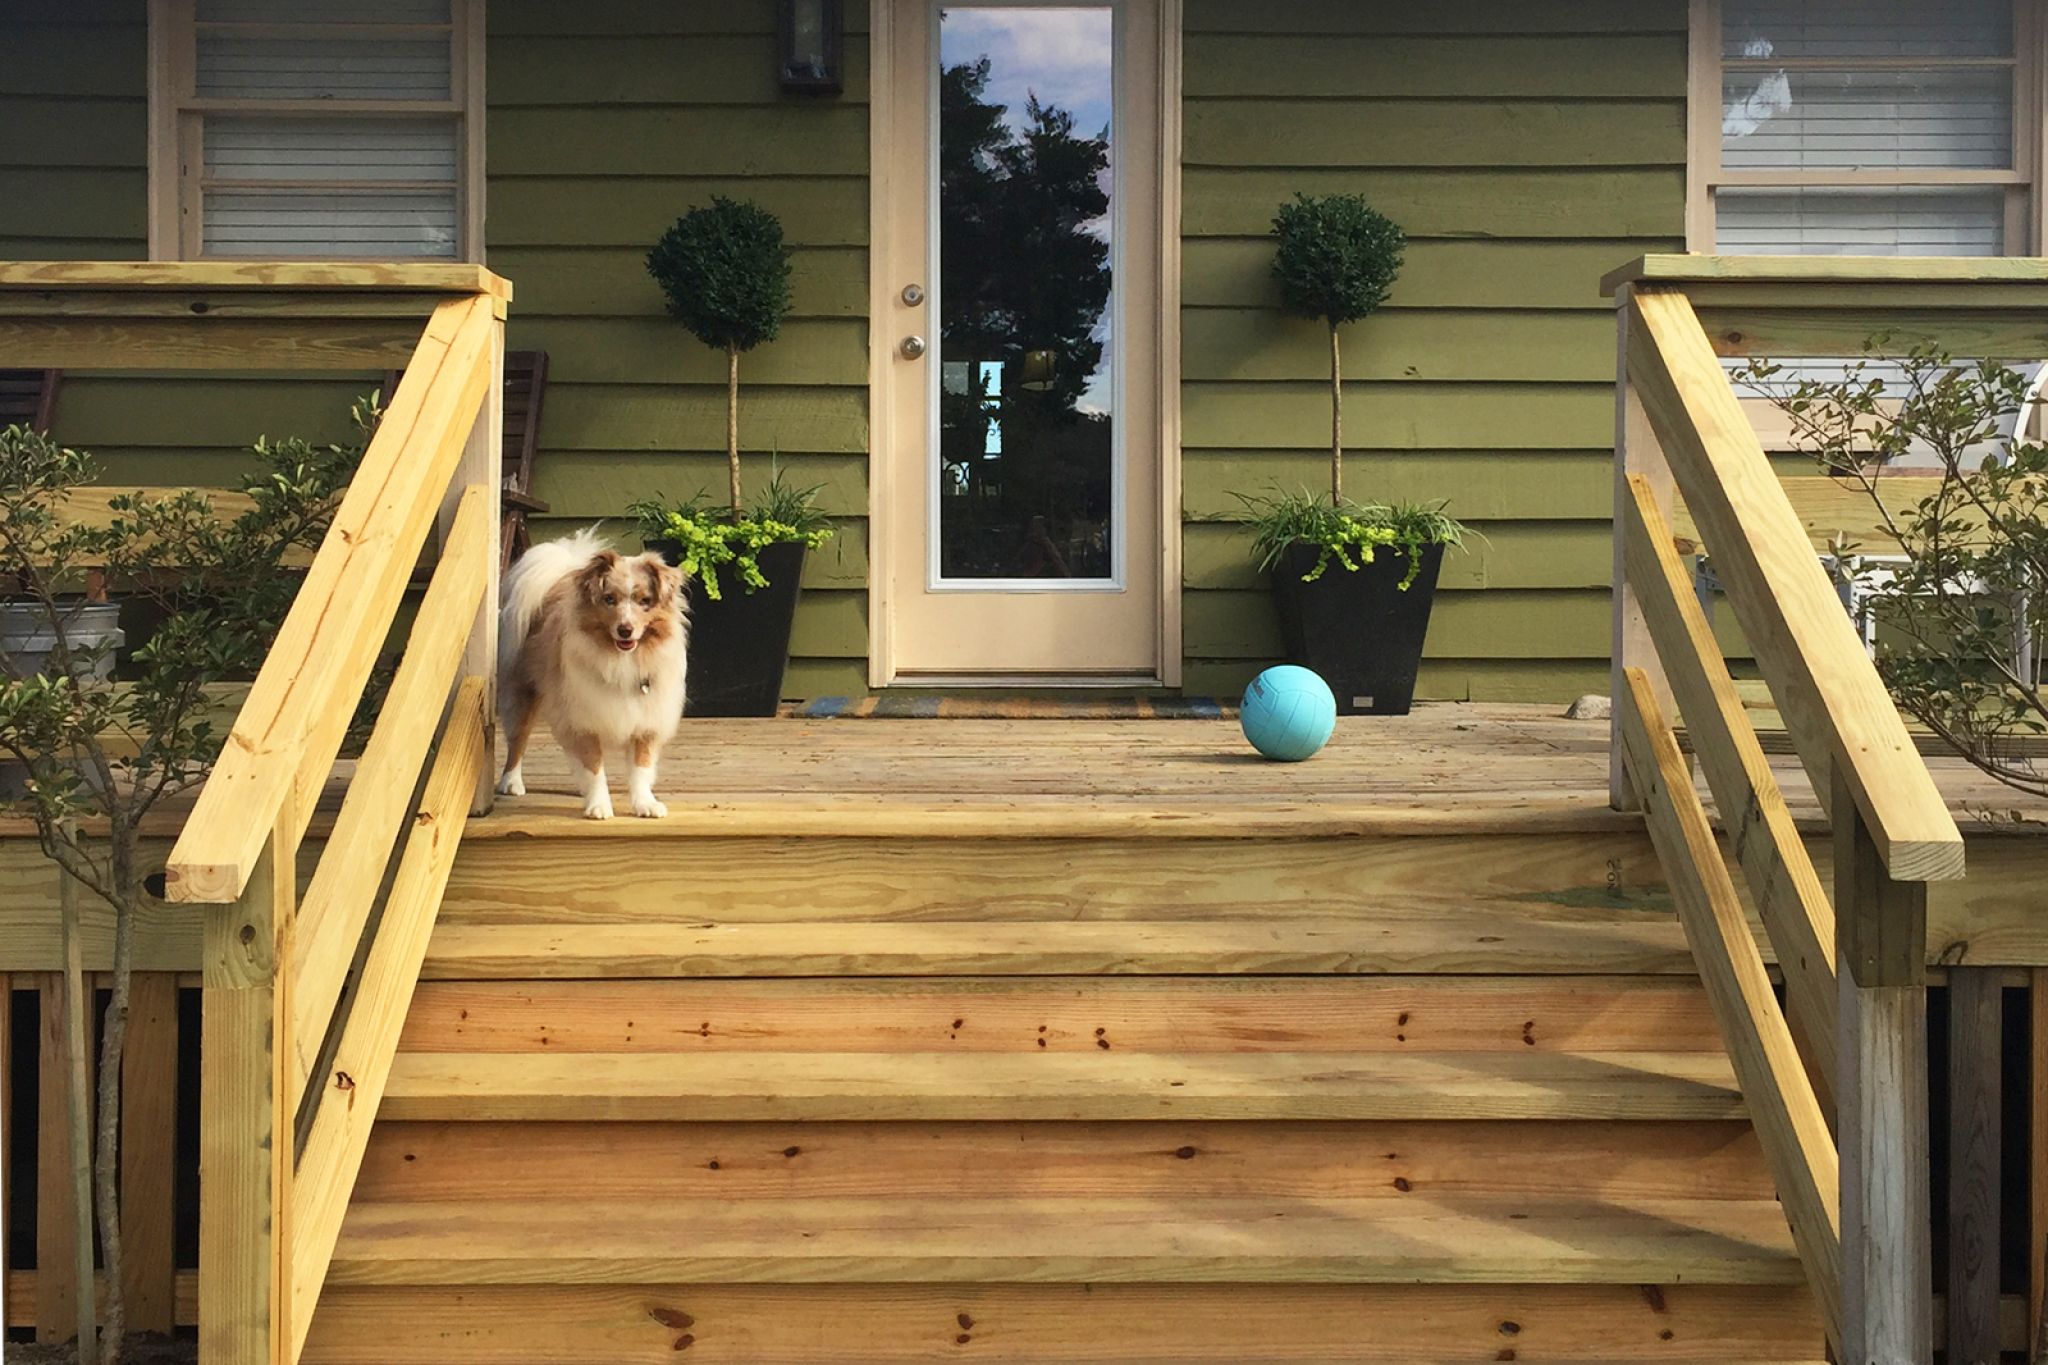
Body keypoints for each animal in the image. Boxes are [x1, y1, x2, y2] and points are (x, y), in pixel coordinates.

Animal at [495, 527, 688, 818]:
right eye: (609, 600)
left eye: (645, 601)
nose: (625, 630)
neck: (623, 658)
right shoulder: (582, 719)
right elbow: (593, 766)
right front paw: (599, 806)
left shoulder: (647, 719)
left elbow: (640, 767)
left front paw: (645, 803)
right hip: (524, 695)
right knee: (517, 740)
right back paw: (511, 782)